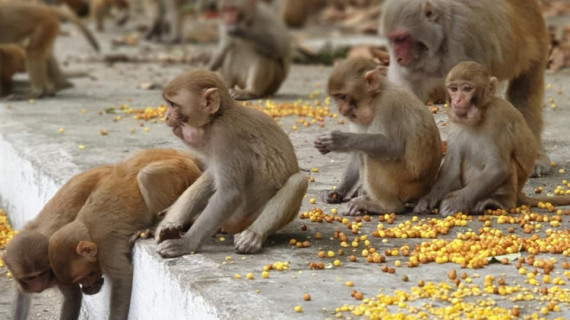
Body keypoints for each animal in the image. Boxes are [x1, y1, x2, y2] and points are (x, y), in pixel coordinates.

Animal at [47, 149, 202, 320]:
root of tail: (185, 155)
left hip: (184, 170)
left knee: (147, 175)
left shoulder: (107, 248)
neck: (87, 230)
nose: (87, 288)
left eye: (84, 277)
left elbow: (122, 279)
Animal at [153, 70, 308, 258]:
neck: (216, 120)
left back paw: (253, 235)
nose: (166, 116)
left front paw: (186, 244)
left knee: (298, 181)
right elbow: (213, 178)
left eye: (173, 104)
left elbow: (229, 194)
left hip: (243, 219)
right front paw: (169, 224)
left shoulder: (225, 140)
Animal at [312, 57, 442, 216]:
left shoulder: (388, 106)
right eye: (337, 98)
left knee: (372, 156)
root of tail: (427, 187)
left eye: (342, 96)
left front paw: (337, 140)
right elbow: (357, 149)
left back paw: (385, 206)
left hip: (406, 182)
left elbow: (392, 146)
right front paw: (337, 192)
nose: (341, 109)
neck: (373, 100)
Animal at [382, 0, 552, 178]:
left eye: (401, 38)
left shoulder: (464, 38)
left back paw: (535, 158)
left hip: (536, 44)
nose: (398, 57)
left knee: (525, 94)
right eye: (393, 40)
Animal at [412, 62, 568, 218]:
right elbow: (452, 168)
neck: (480, 114)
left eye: (467, 89)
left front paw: (456, 202)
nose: (457, 100)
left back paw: (497, 201)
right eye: (454, 89)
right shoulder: (455, 124)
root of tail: (519, 194)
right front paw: (429, 199)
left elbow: (498, 167)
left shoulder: (497, 121)